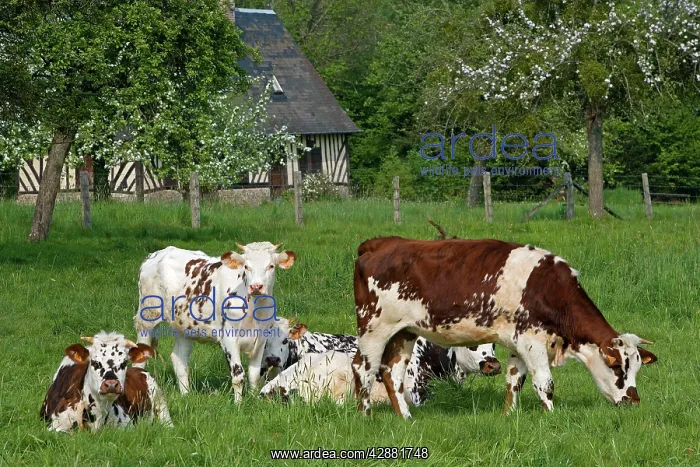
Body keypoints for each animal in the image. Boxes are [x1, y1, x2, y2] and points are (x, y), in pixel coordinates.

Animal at [133, 242, 296, 401]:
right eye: (246, 266)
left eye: (271, 266)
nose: (256, 286)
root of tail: (157, 254)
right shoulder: (228, 337)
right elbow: (238, 376)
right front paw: (238, 404)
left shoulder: (261, 339)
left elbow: (254, 377)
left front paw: (253, 400)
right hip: (147, 317)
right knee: (140, 357)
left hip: (184, 326)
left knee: (179, 359)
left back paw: (186, 395)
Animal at [351, 237, 658, 419]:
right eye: (617, 367)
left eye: (637, 368)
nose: (633, 401)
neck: (549, 289)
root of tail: (381, 243)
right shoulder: (533, 341)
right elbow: (544, 383)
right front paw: (552, 416)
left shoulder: (517, 343)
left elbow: (514, 381)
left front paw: (509, 416)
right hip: (374, 327)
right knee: (363, 368)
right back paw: (365, 415)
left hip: (404, 332)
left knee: (392, 373)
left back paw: (405, 417)